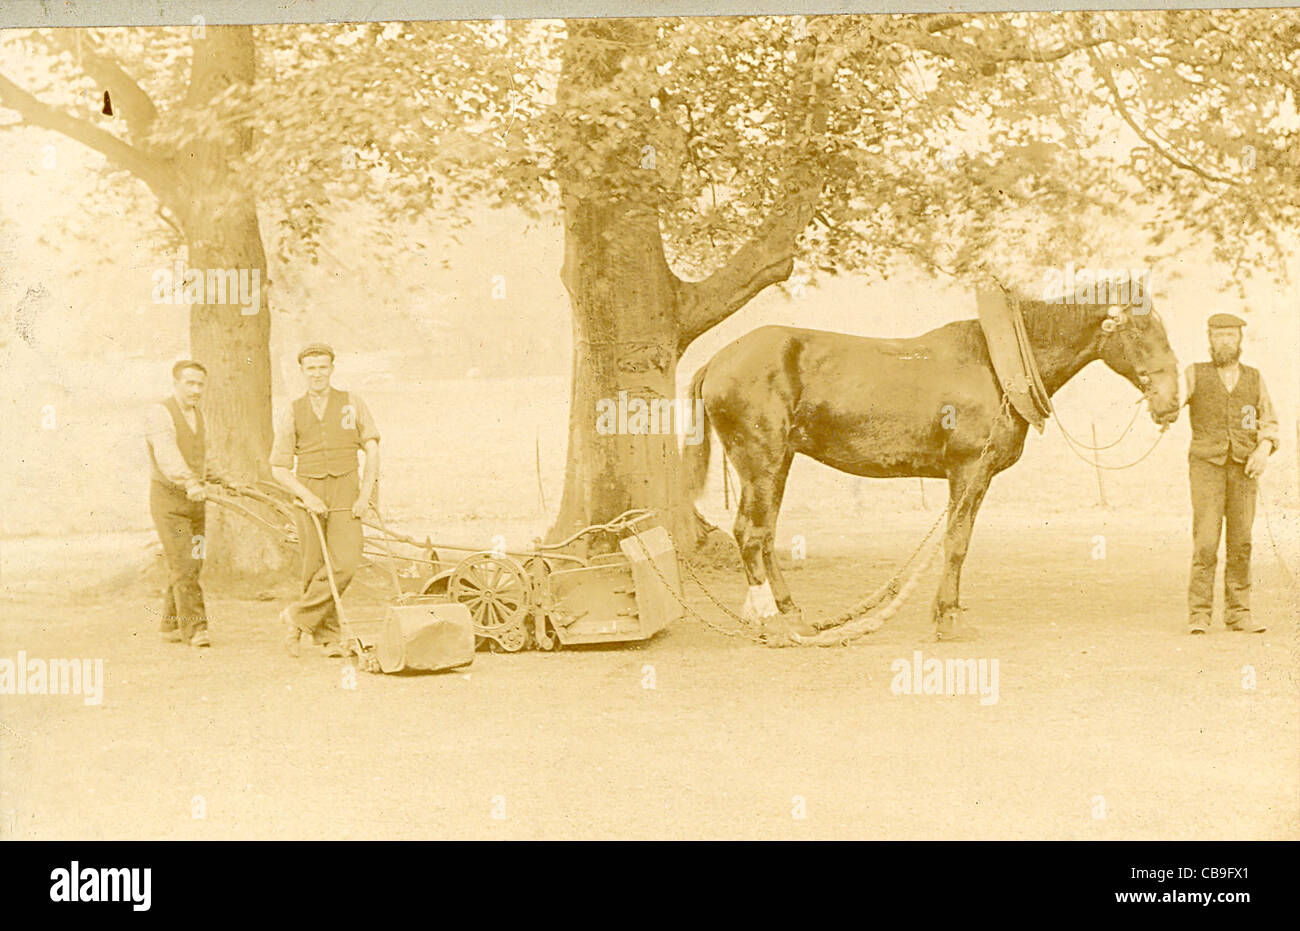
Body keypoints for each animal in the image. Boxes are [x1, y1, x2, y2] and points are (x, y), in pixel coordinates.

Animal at [682, 297, 1181, 642]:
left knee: (763, 535)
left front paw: (949, 613)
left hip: (777, 463)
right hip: (761, 461)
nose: (1172, 401)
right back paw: (771, 622)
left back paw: (791, 615)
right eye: (1139, 329)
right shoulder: (968, 472)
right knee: (751, 534)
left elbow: (960, 542)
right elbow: (956, 544)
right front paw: (949, 621)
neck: (995, 365)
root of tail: (718, 360)